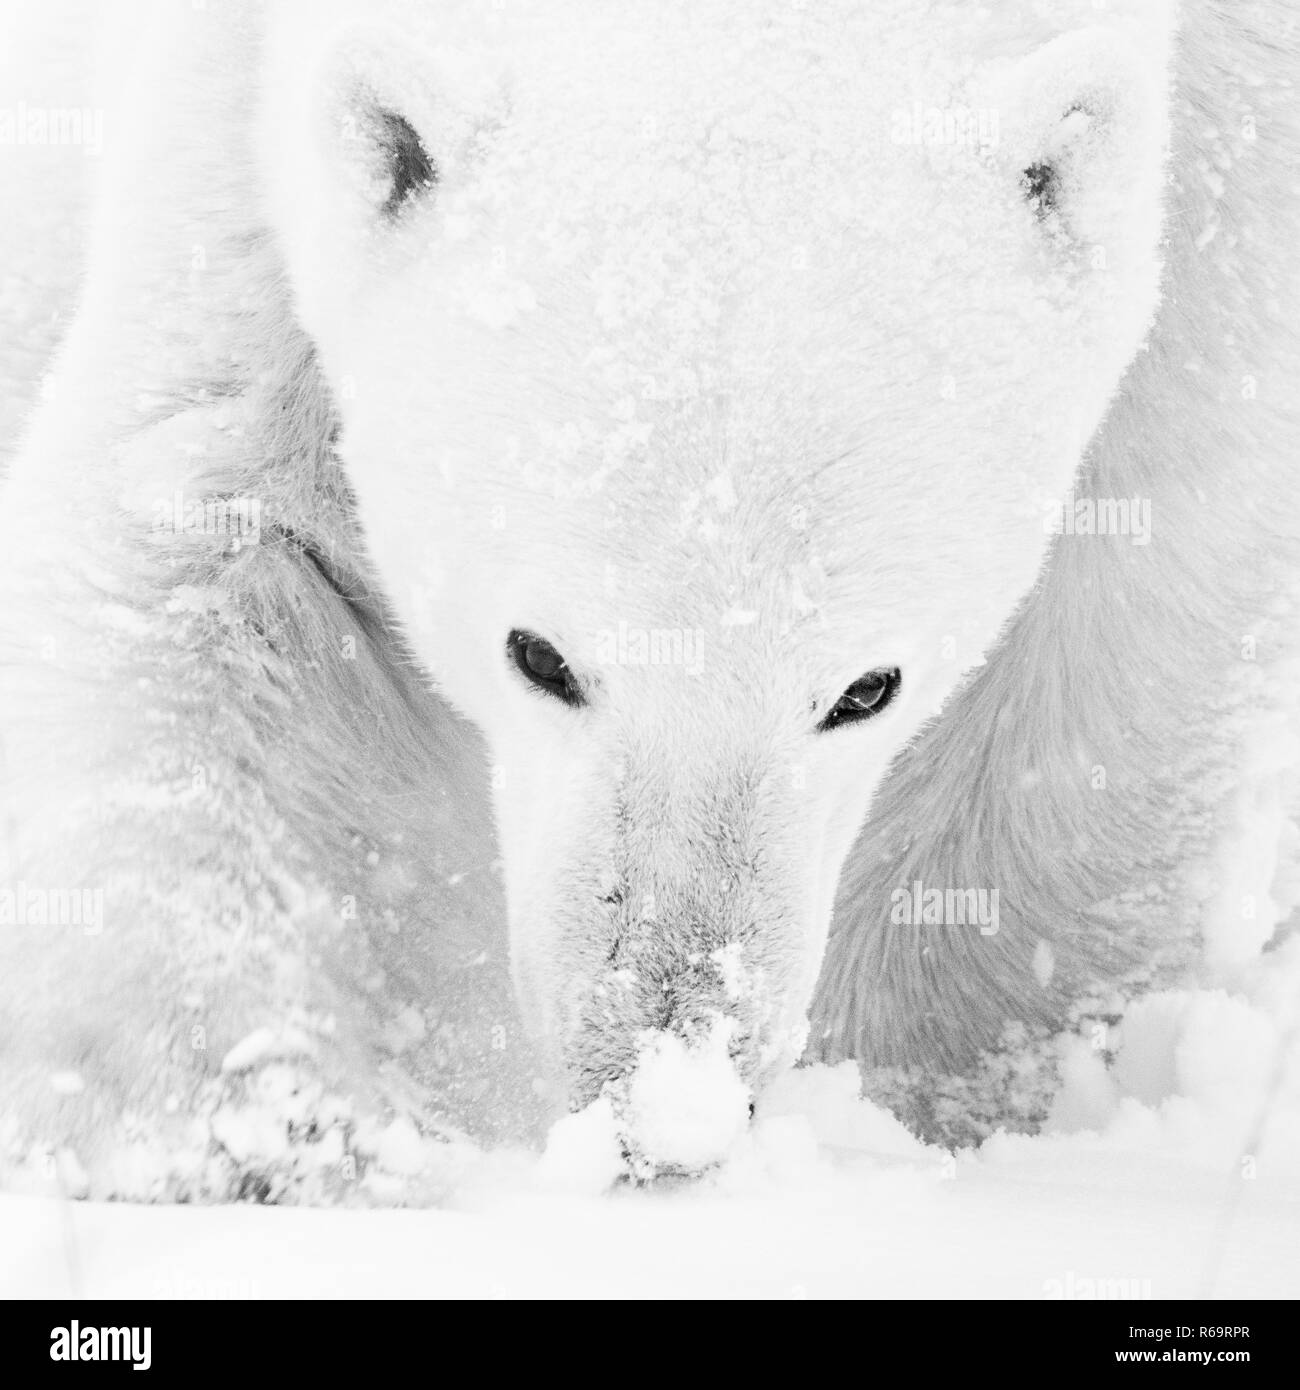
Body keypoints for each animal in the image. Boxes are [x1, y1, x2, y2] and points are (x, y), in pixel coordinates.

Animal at [0, 0, 1296, 1197]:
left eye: (866, 688)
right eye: (538, 655)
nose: (661, 1102)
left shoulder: (1237, 143)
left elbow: (1130, 585)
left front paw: (925, 1103)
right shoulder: (232, 102)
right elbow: (206, 510)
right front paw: (235, 1142)